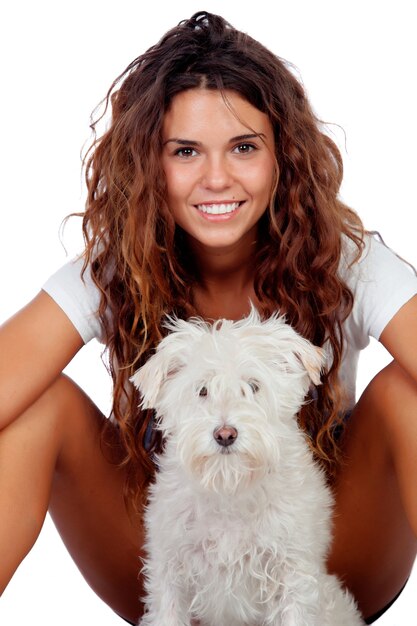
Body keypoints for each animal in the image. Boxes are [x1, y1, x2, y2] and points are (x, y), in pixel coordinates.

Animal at [131, 308, 364, 624]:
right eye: (202, 390)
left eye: (253, 386)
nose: (225, 434)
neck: (230, 486)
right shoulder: (170, 572)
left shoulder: (292, 573)